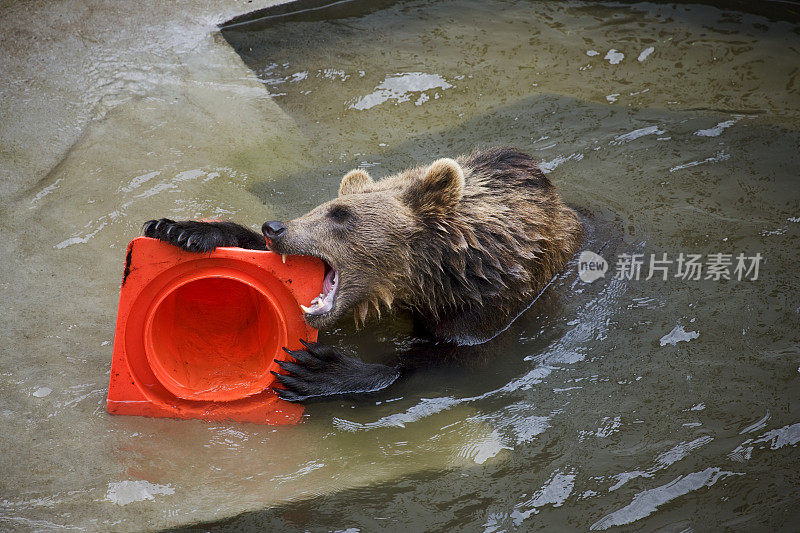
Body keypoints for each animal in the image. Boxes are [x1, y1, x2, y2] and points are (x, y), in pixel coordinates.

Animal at [142, 145, 580, 400]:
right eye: (324, 206)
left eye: (341, 214)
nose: (275, 228)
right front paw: (182, 229)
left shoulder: (488, 307)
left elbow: (450, 362)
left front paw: (318, 370)